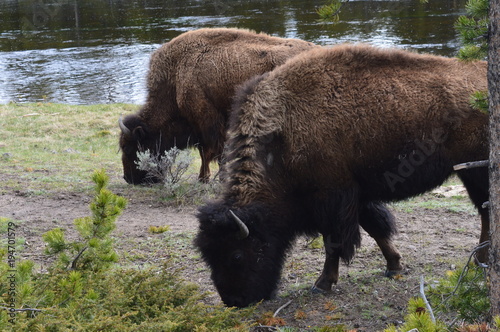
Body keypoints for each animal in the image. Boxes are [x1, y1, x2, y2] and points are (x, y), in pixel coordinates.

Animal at [119, 27, 318, 184]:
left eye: (130, 148)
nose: (129, 179)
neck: (176, 77)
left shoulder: (208, 122)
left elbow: (212, 153)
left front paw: (215, 179)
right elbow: (206, 153)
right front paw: (204, 178)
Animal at [195, 42, 488, 308]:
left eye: (236, 255)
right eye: (207, 255)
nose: (233, 301)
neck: (282, 138)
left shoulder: (333, 199)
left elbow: (334, 242)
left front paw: (322, 284)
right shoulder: (358, 194)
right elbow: (375, 227)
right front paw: (394, 266)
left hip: (476, 172)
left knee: (485, 211)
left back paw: (480, 261)